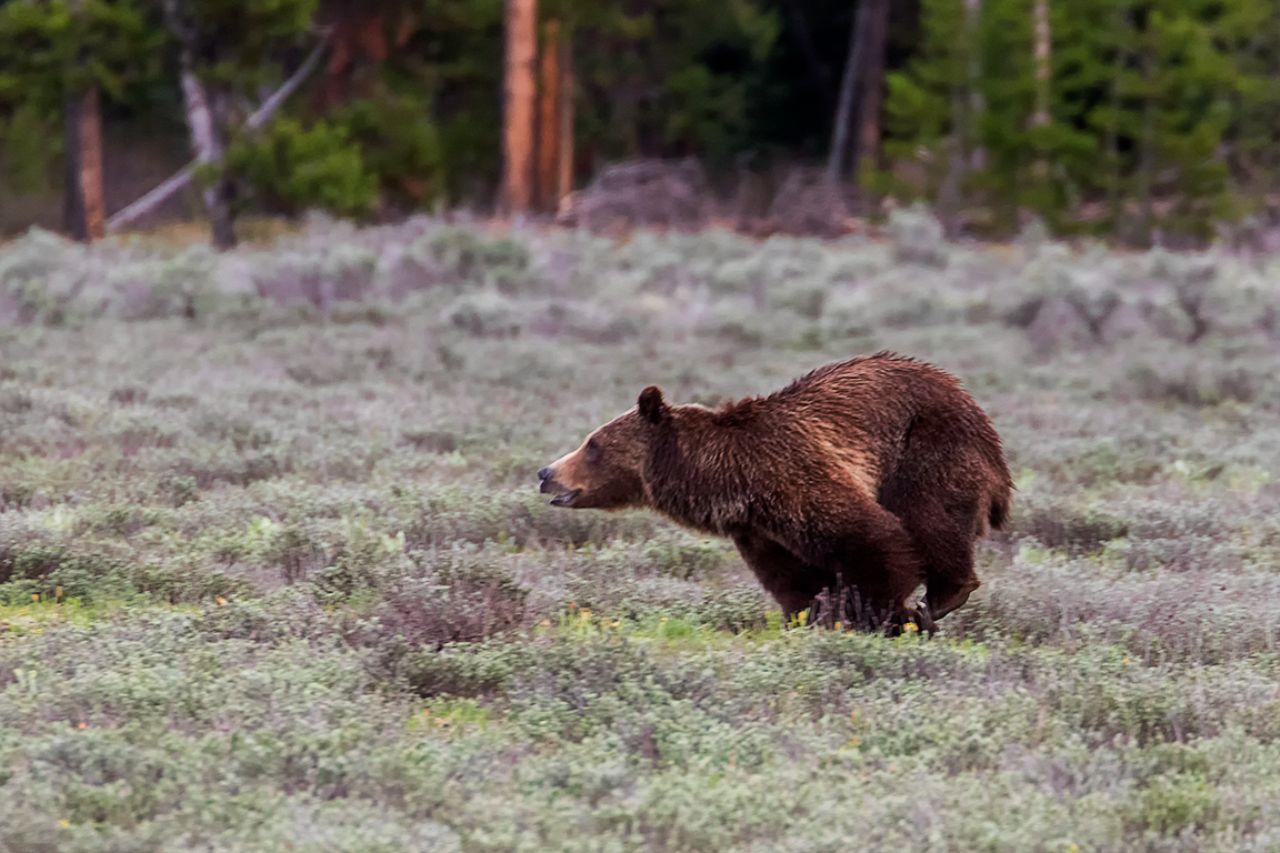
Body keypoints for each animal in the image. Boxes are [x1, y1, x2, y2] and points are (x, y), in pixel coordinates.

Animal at [536, 352, 1012, 633]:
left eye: (593, 444)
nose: (546, 473)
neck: (728, 479)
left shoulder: (791, 474)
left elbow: (872, 537)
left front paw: (884, 614)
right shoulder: (761, 528)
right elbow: (794, 580)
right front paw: (812, 614)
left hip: (926, 448)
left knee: (931, 519)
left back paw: (940, 599)